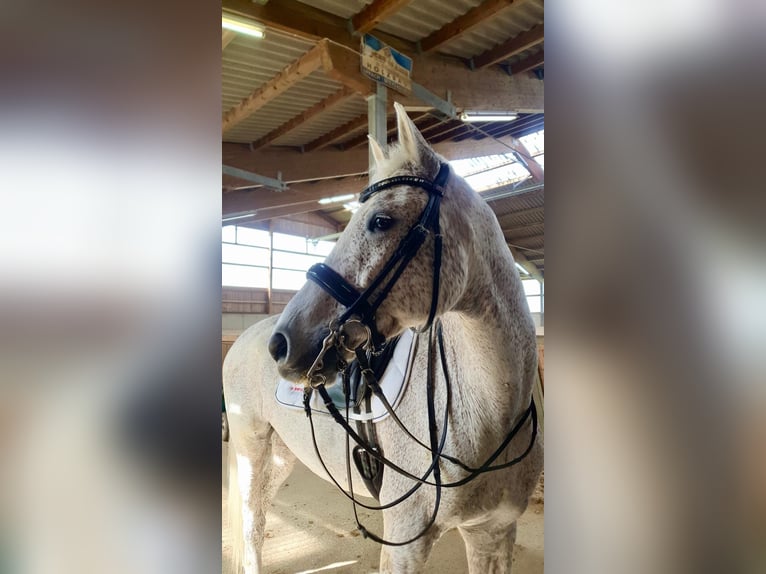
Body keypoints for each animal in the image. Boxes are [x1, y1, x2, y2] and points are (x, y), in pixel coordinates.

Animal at [223, 103, 543, 574]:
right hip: (251, 447)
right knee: (252, 523)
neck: (489, 412)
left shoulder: (493, 533)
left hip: (281, 454)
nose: (282, 344)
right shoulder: (405, 544)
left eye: (381, 221)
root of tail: (246, 339)